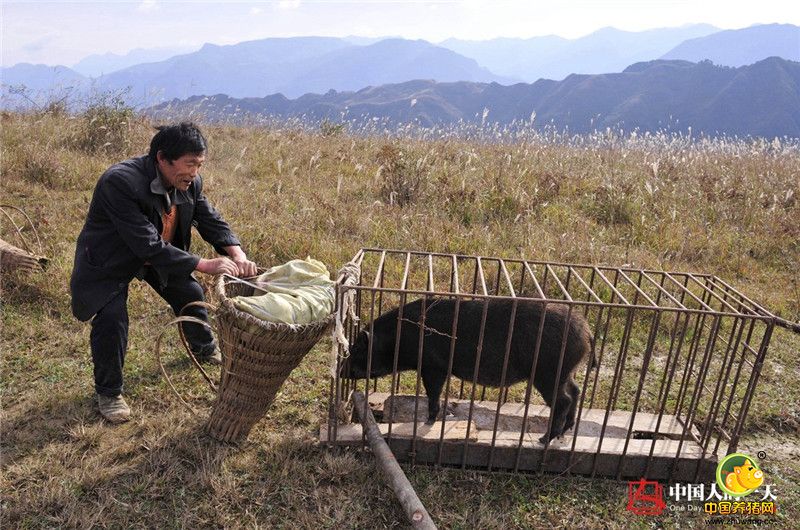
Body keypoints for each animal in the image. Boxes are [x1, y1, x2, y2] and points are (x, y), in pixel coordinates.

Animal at [348, 296, 592, 442]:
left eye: (357, 349)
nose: (342, 369)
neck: (399, 339)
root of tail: (586, 331)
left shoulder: (433, 366)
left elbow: (433, 393)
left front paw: (429, 420)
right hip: (565, 372)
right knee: (576, 390)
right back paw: (566, 431)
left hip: (548, 372)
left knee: (563, 400)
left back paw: (545, 439)